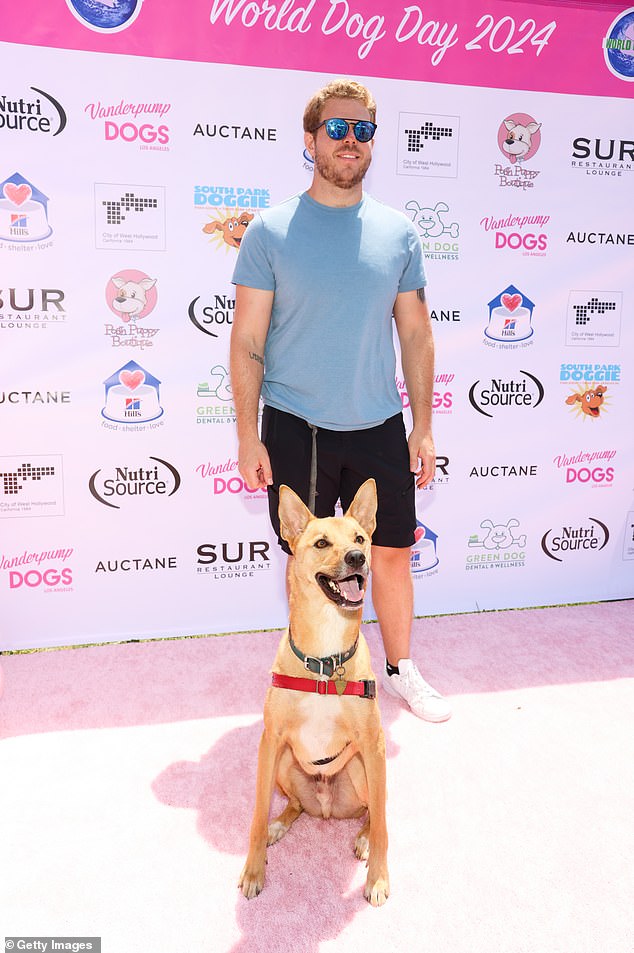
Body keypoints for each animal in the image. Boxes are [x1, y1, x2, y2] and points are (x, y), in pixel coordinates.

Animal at [237, 480, 388, 904]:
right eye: (321, 543)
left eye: (360, 538)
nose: (357, 557)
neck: (324, 659)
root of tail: (325, 809)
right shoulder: (271, 741)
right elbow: (255, 815)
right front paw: (254, 869)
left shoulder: (373, 744)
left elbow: (384, 823)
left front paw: (378, 878)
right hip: (285, 764)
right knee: (293, 805)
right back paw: (280, 822)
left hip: (362, 768)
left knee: (373, 811)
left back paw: (364, 837)